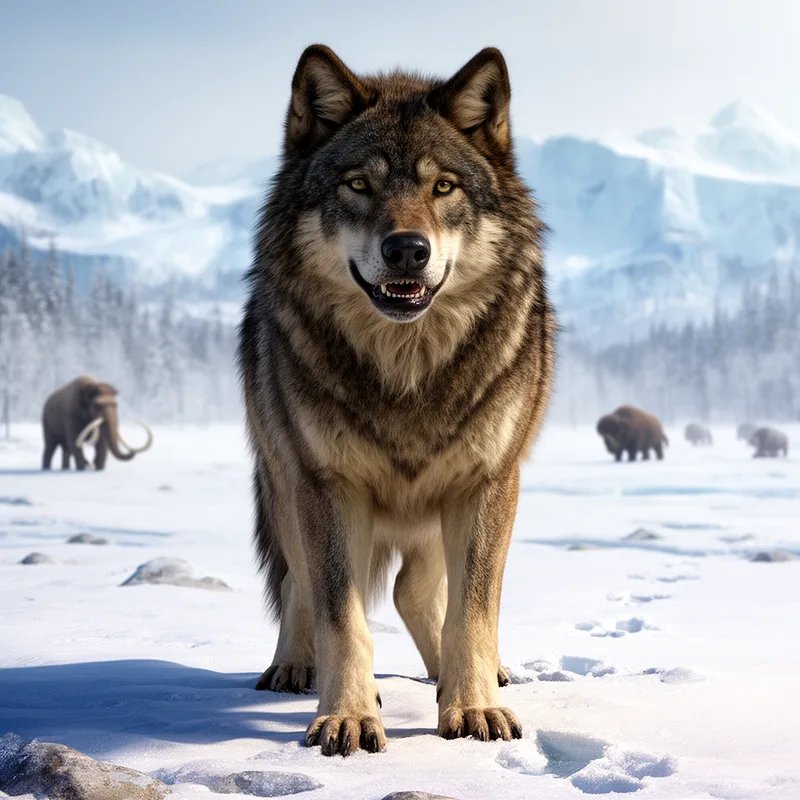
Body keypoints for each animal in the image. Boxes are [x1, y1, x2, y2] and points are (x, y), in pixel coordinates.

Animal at [238, 44, 555, 756]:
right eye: (360, 185)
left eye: (444, 188)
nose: (408, 249)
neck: (407, 367)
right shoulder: (326, 485)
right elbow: (341, 614)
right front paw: (348, 717)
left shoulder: (486, 482)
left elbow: (472, 612)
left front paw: (473, 707)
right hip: (286, 486)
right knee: (301, 584)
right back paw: (293, 667)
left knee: (416, 590)